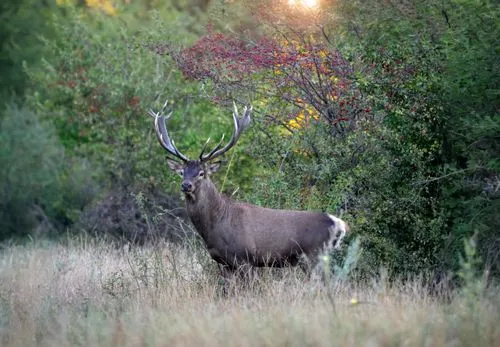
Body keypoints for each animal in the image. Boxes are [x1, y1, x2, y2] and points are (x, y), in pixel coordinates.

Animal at [146, 100, 350, 288]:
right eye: (182, 172)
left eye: (202, 173)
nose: (186, 185)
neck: (215, 225)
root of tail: (339, 224)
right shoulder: (224, 263)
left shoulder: (246, 258)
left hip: (314, 255)